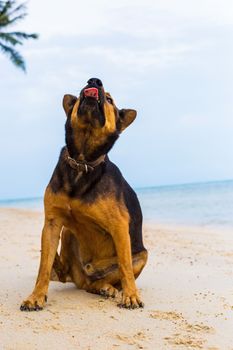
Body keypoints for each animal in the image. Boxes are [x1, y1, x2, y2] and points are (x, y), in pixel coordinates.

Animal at [20, 78, 147, 310]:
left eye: (109, 100)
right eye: (81, 93)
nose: (94, 80)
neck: (82, 162)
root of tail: (80, 278)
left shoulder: (119, 226)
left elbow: (125, 265)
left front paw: (131, 295)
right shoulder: (53, 221)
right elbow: (43, 268)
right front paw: (36, 296)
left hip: (142, 256)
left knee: (103, 279)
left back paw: (107, 287)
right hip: (66, 233)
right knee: (62, 270)